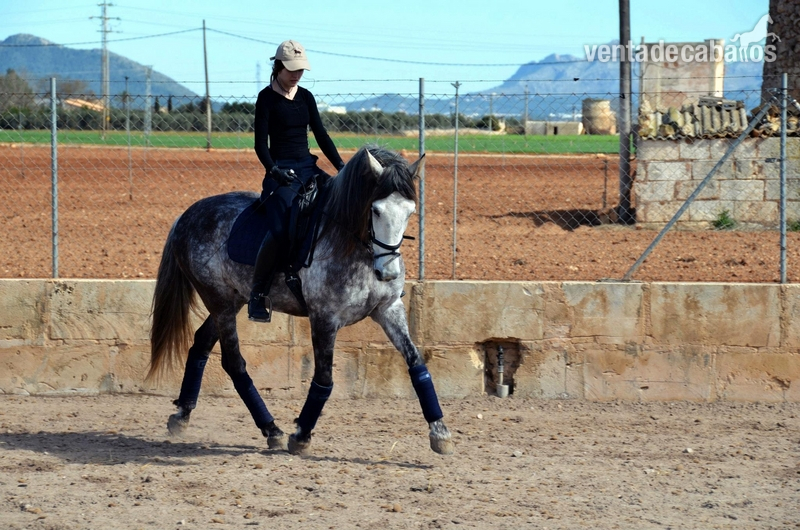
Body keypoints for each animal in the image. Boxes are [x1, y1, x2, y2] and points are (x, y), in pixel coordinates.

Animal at [146, 145, 454, 456]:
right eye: (376, 209)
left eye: (410, 211)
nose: (388, 272)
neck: (352, 244)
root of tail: (187, 215)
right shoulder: (324, 318)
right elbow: (324, 379)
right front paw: (302, 435)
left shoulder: (388, 310)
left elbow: (417, 363)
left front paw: (440, 432)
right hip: (219, 301)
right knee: (234, 363)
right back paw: (271, 429)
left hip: (231, 301)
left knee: (200, 343)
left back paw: (182, 415)